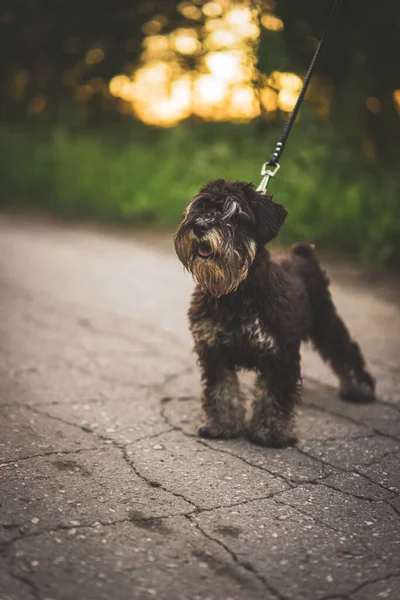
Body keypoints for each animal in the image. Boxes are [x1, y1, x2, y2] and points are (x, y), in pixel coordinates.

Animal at [174, 178, 376, 446]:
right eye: (200, 206)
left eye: (236, 215)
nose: (200, 226)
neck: (236, 293)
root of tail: (303, 254)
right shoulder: (214, 350)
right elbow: (221, 390)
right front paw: (221, 425)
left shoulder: (280, 351)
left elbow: (275, 394)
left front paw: (270, 432)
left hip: (325, 320)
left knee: (344, 348)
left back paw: (359, 388)